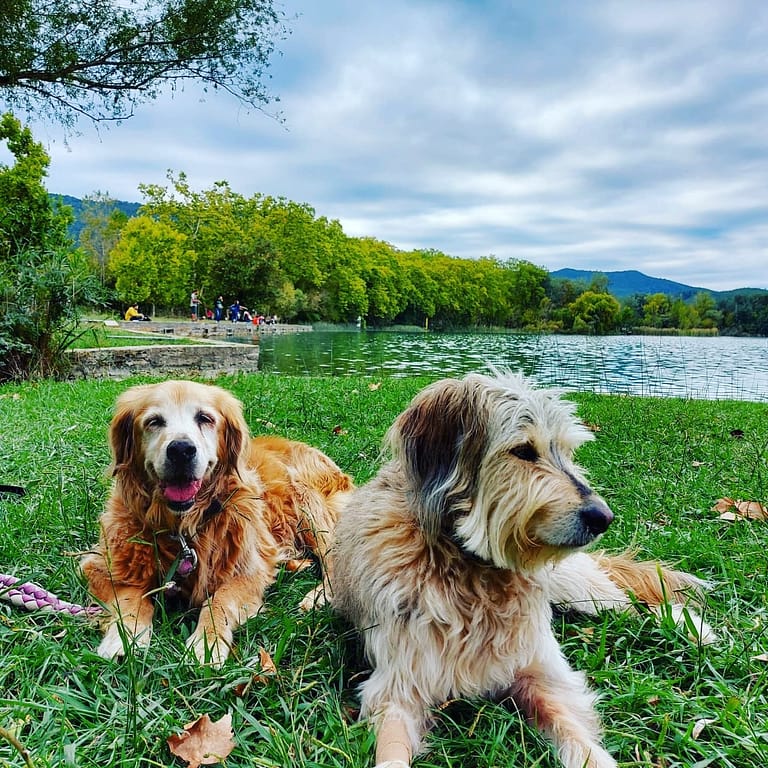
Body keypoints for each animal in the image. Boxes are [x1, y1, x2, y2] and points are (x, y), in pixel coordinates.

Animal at [80, 380, 352, 664]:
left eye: (204, 418)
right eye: (154, 421)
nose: (181, 450)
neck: (183, 527)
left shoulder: (247, 571)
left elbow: (219, 601)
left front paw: (206, 643)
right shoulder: (101, 566)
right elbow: (131, 598)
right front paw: (124, 638)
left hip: (310, 504)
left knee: (333, 561)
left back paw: (318, 597)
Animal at [328, 372, 712, 768]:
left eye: (567, 452)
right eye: (524, 451)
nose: (603, 517)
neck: (471, 569)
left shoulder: (538, 669)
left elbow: (568, 722)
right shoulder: (396, 686)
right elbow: (391, 751)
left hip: (576, 587)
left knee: (636, 603)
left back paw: (692, 629)